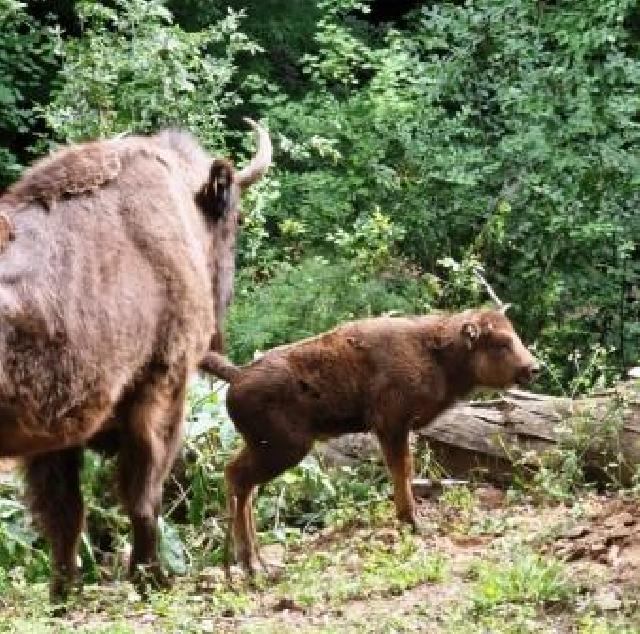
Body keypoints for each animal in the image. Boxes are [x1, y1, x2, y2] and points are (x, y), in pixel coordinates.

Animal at [0, 118, 272, 596]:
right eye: (234, 220)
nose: (219, 336)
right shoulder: (161, 386)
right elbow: (143, 494)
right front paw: (151, 577)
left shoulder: (53, 434)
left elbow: (64, 516)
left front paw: (64, 593)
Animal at [198, 308, 536, 572]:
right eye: (501, 342)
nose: (534, 367)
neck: (435, 352)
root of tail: (238, 375)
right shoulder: (392, 426)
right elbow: (402, 469)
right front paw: (414, 522)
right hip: (284, 449)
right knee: (237, 478)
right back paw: (250, 565)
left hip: (263, 448)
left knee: (243, 485)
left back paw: (255, 562)